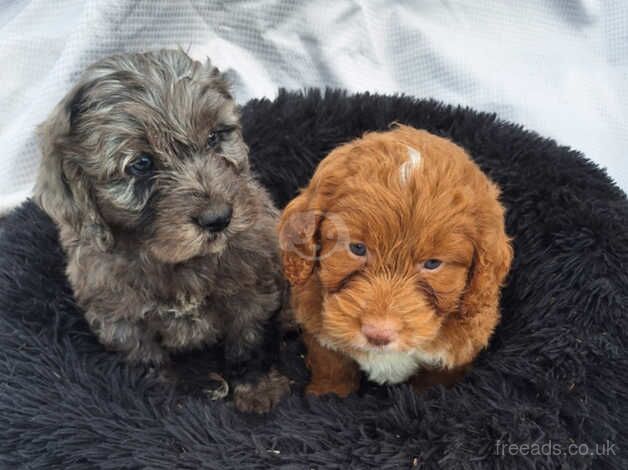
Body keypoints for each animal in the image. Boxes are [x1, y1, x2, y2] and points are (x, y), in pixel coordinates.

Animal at [33, 49, 288, 414]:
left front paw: (258, 387)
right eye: (141, 164)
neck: (178, 262)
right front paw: (163, 399)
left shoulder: (253, 290)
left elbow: (249, 339)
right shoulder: (119, 319)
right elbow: (146, 359)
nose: (219, 218)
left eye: (214, 137)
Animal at [278, 125, 512, 396]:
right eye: (357, 248)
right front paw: (328, 395)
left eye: (433, 264)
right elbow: (332, 368)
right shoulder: (319, 332)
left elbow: (434, 384)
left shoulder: (455, 355)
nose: (378, 334)